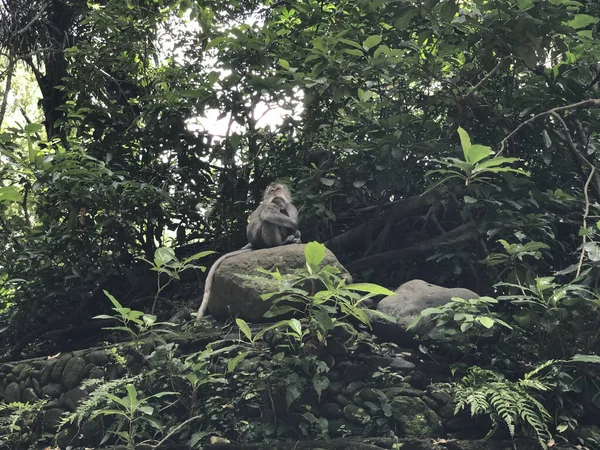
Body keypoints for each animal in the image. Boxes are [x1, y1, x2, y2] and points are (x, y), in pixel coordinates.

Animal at [196, 185, 300, 322]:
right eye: (272, 191)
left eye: (278, 189)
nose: (275, 193)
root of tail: (255, 245)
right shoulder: (269, 204)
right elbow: (268, 214)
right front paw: (295, 228)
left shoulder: (291, 207)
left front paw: (297, 235)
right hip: (261, 240)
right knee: (267, 221)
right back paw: (280, 243)